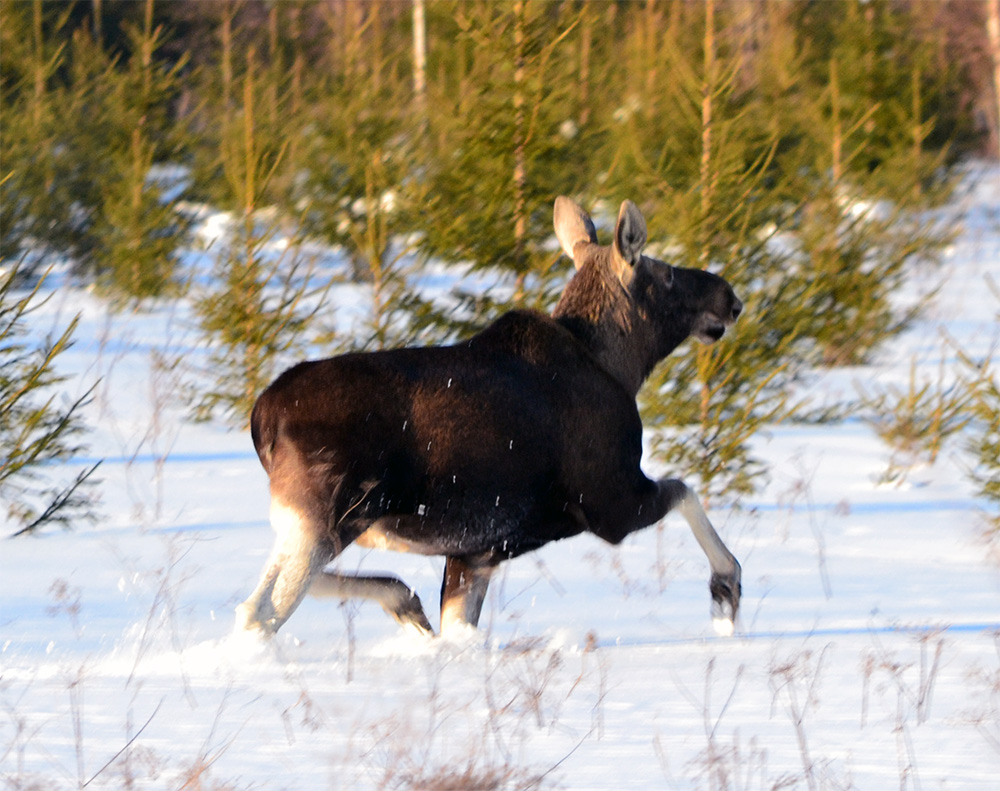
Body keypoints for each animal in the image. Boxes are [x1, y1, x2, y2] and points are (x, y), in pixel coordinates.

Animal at [236, 198, 744, 644]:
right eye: (666, 273)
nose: (730, 297)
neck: (622, 366)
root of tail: (262, 418)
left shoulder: (475, 553)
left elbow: (460, 625)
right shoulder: (611, 502)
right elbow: (686, 491)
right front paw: (726, 589)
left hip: (317, 519)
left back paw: (404, 604)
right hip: (329, 515)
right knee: (259, 611)